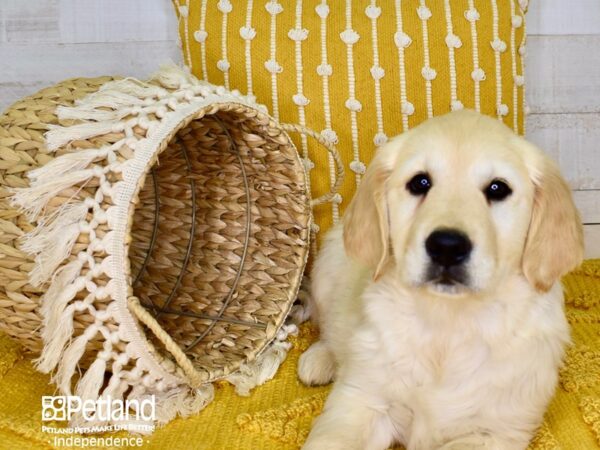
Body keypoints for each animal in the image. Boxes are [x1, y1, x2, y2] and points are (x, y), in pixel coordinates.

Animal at [298, 110, 584, 450]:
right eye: (420, 182)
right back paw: (321, 359)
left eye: (498, 189)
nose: (447, 246)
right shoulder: (362, 402)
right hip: (327, 267)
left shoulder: (491, 431)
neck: (448, 323)